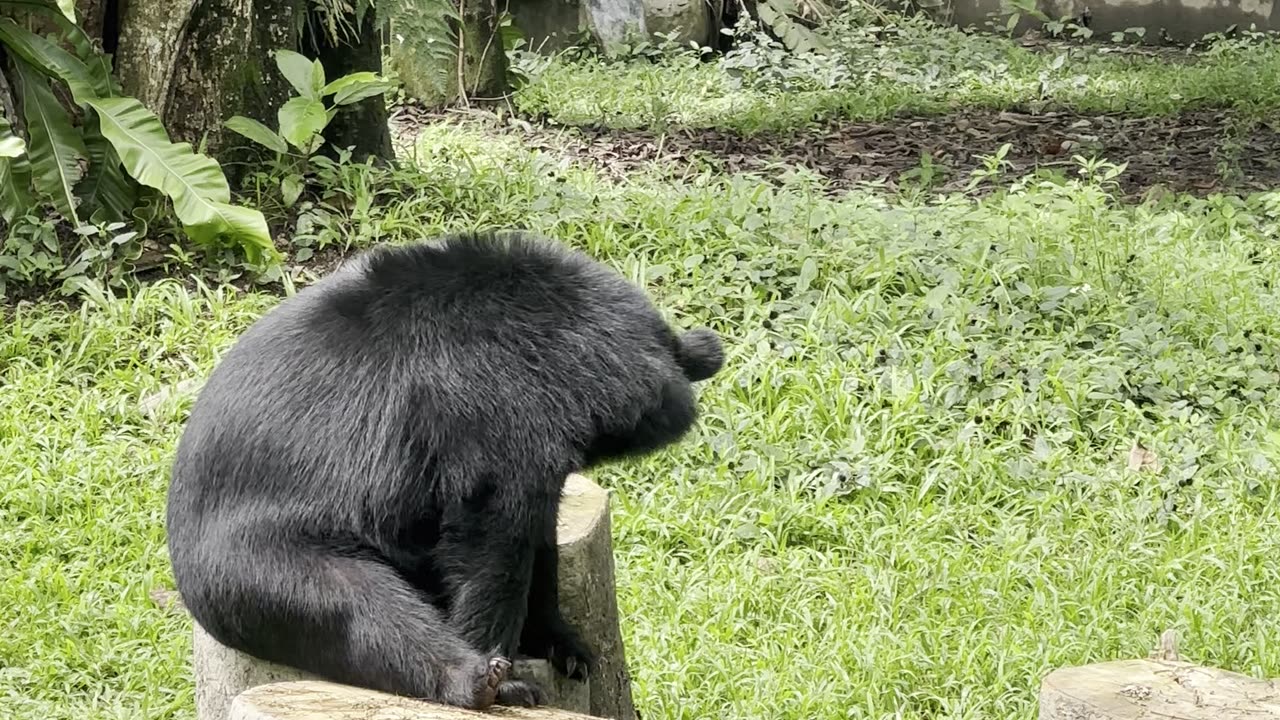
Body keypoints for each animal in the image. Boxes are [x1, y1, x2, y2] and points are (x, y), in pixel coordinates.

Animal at [166, 229, 727, 707]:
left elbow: (540, 539)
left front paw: (566, 647)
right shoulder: (497, 409)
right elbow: (494, 540)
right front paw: (505, 668)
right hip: (259, 558)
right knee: (361, 607)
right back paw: (475, 679)